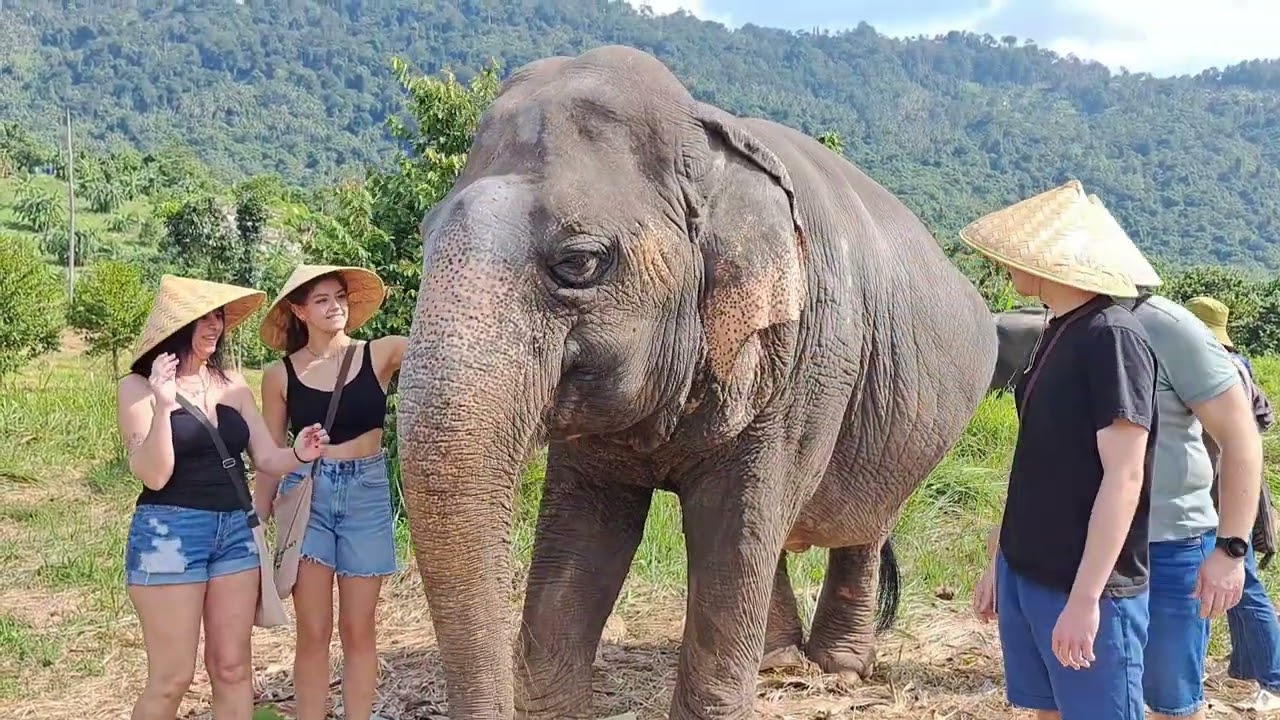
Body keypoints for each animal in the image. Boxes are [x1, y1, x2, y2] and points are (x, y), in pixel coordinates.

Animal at [395, 45, 998, 719]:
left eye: (579, 262)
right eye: (424, 239)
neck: (708, 153)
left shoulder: (803, 365)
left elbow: (734, 531)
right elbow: (583, 532)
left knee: (856, 528)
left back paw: (839, 671)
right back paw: (778, 661)